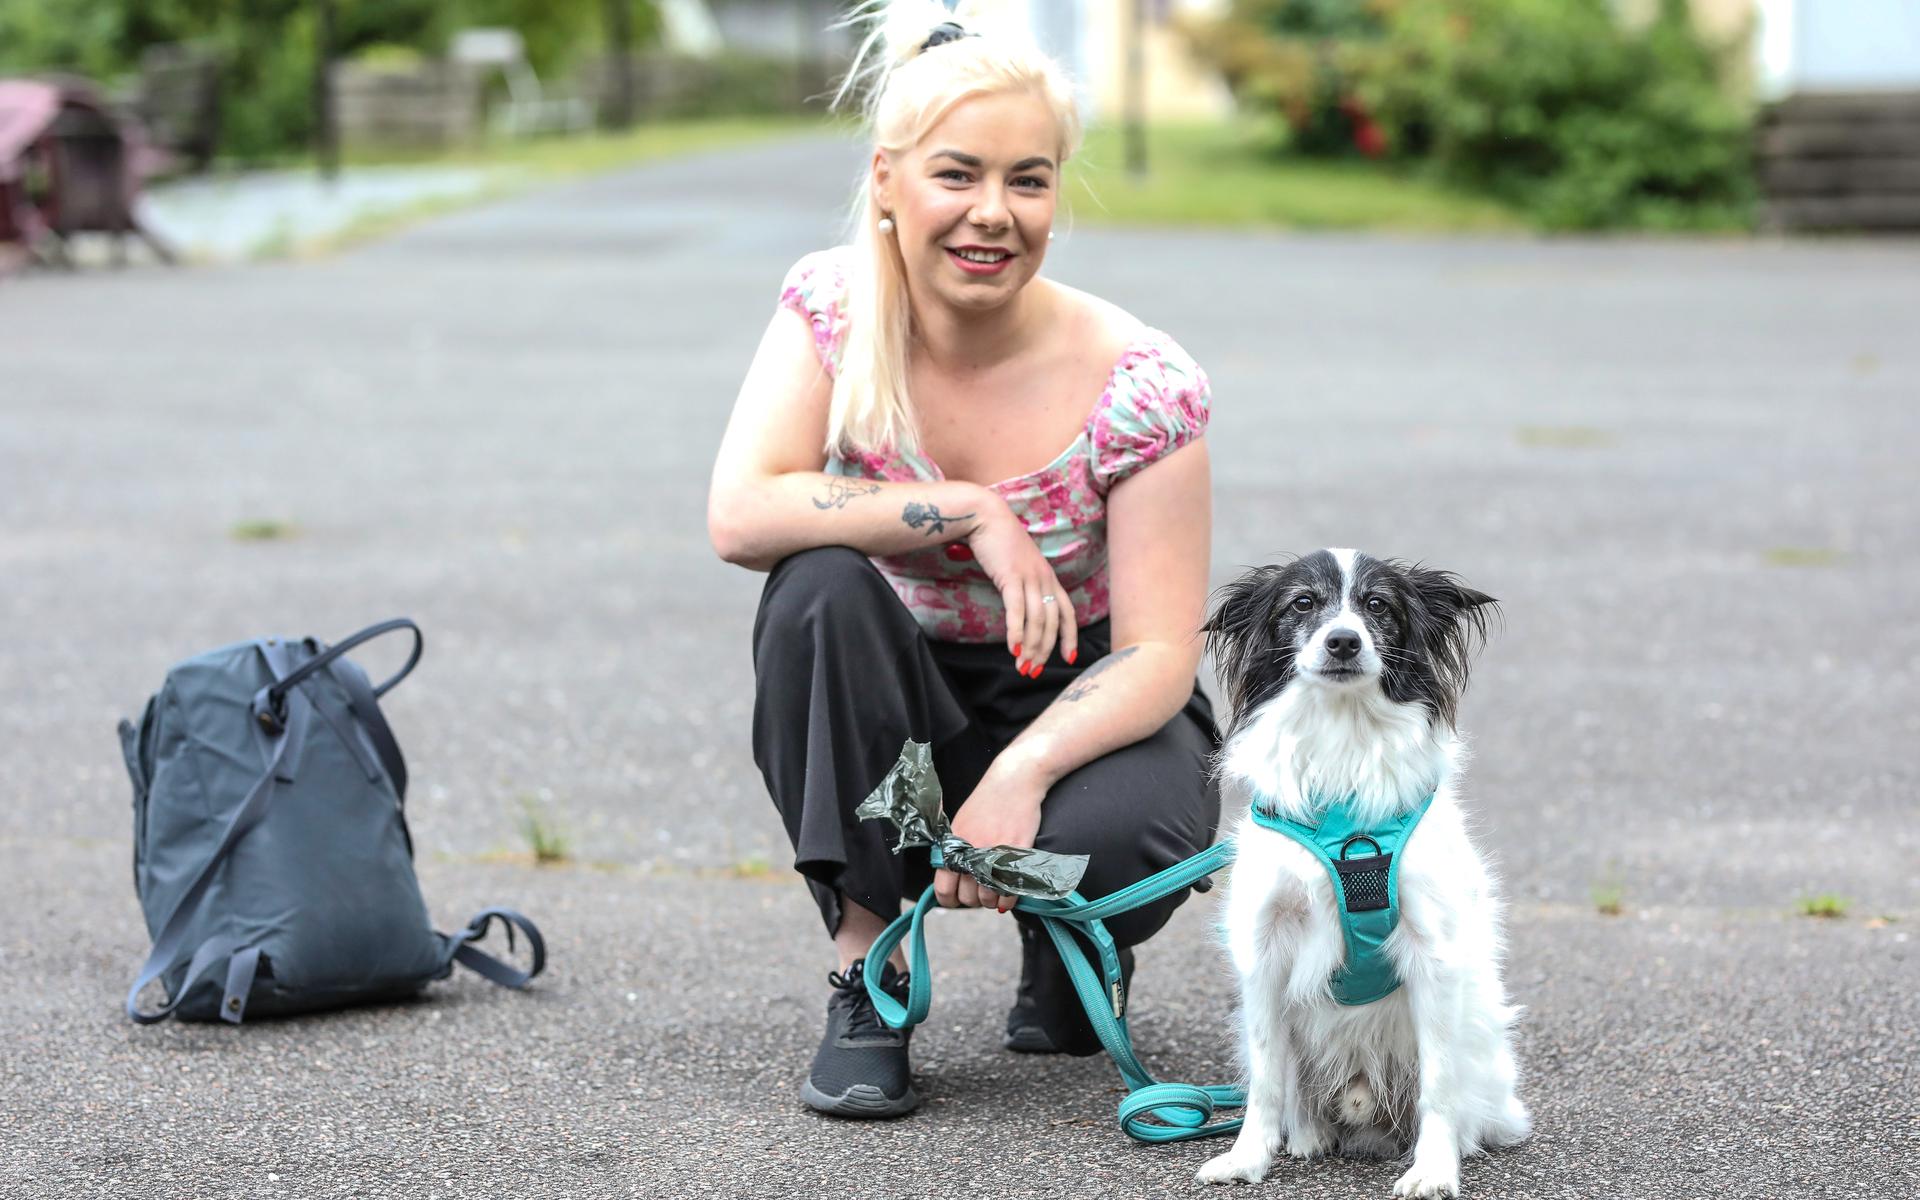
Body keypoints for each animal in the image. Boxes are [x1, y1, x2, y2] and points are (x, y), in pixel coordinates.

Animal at [1198, 549, 1528, 1190]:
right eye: (1303, 602)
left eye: (1378, 605)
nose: (1344, 641)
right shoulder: (1264, 948)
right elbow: (1267, 1076)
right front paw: (1248, 1159)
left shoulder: (1433, 952)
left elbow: (1439, 1083)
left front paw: (1434, 1171)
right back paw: (1307, 1136)